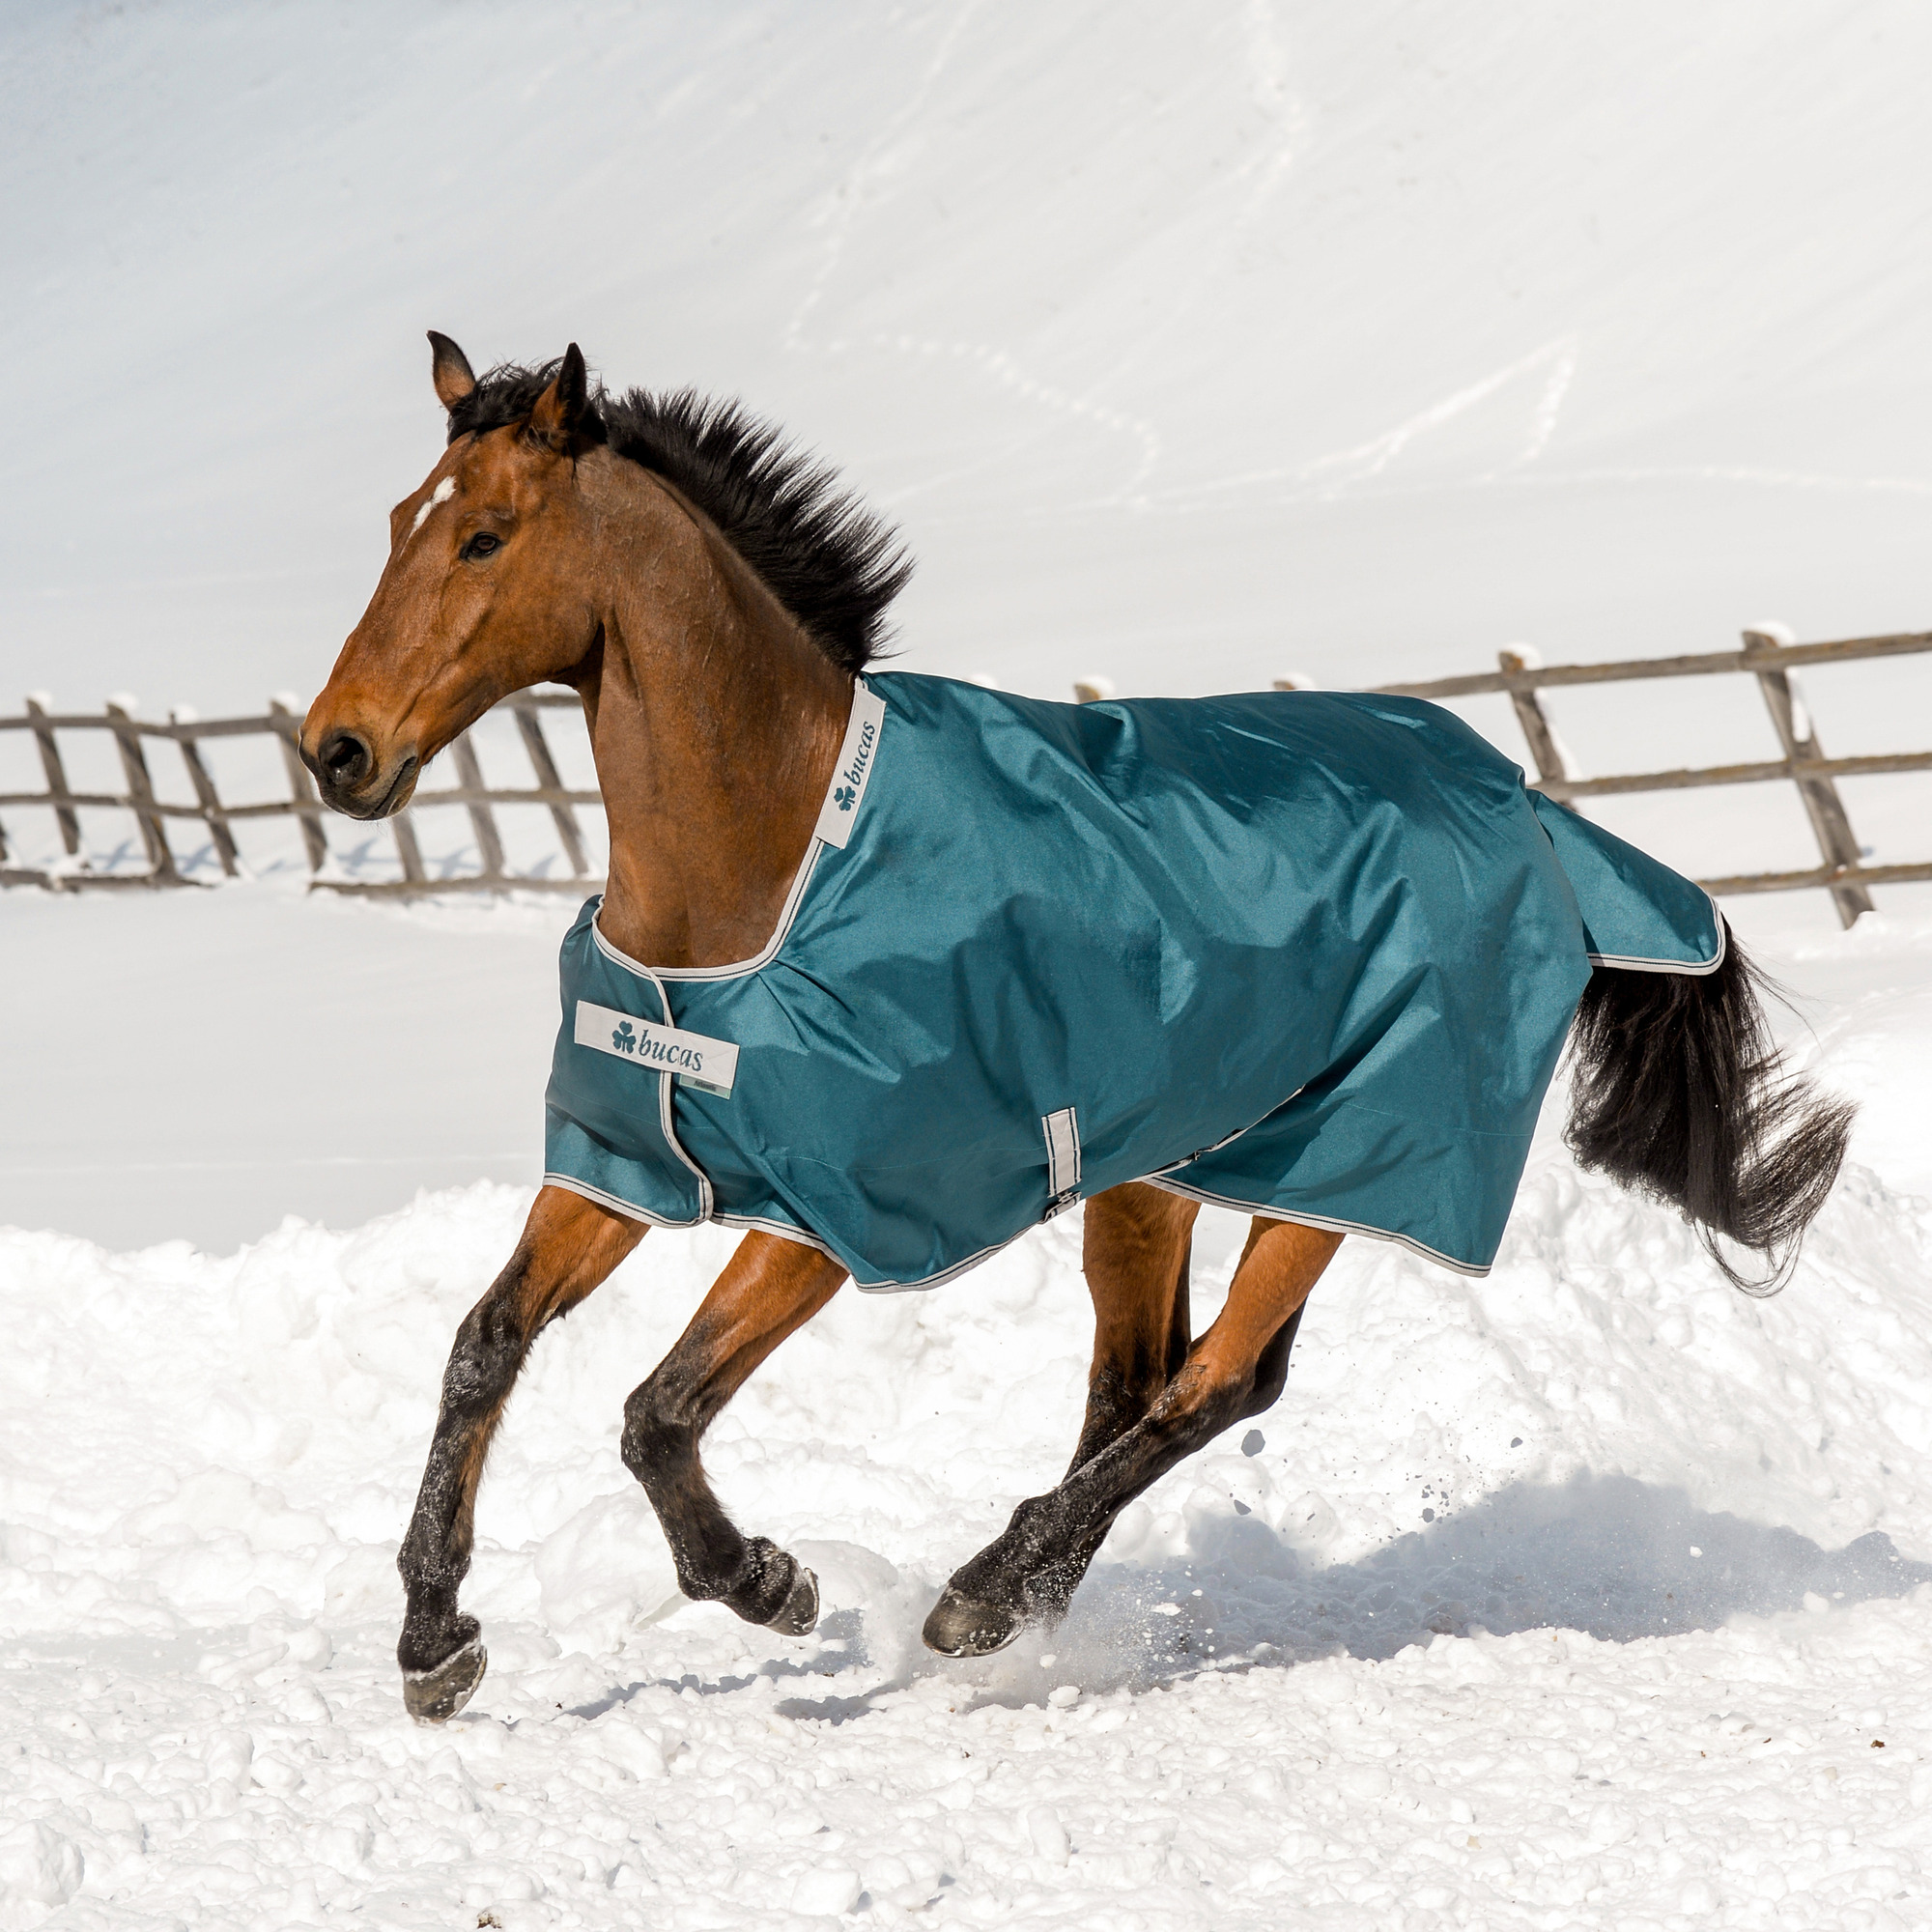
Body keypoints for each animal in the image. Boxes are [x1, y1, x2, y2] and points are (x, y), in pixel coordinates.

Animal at [301, 335, 1853, 1724]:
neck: (770, 863)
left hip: (1355, 1161)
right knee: (1139, 1381)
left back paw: (986, 1593)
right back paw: (1029, 1579)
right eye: (393, 527)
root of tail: (1534, 808)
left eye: (485, 538)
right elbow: (484, 1345)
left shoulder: (837, 1213)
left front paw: (766, 1582)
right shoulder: (624, 1160)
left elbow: (658, 1409)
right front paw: (434, 1641)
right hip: (1156, 1171)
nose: (338, 751)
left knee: (1219, 1380)